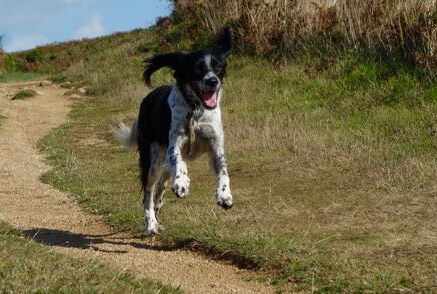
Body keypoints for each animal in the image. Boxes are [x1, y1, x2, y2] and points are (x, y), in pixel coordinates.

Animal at [114, 27, 233, 234]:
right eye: (198, 68)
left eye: (218, 66)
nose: (213, 81)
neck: (196, 111)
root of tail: (146, 99)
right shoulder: (174, 143)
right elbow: (179, 161)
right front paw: (182, 183)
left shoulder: (216, 146)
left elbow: (224, 170)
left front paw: (225, 195)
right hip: (152, 160)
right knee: (148, 193)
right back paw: (151, 223)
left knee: (160, 188)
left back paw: (158, 213)